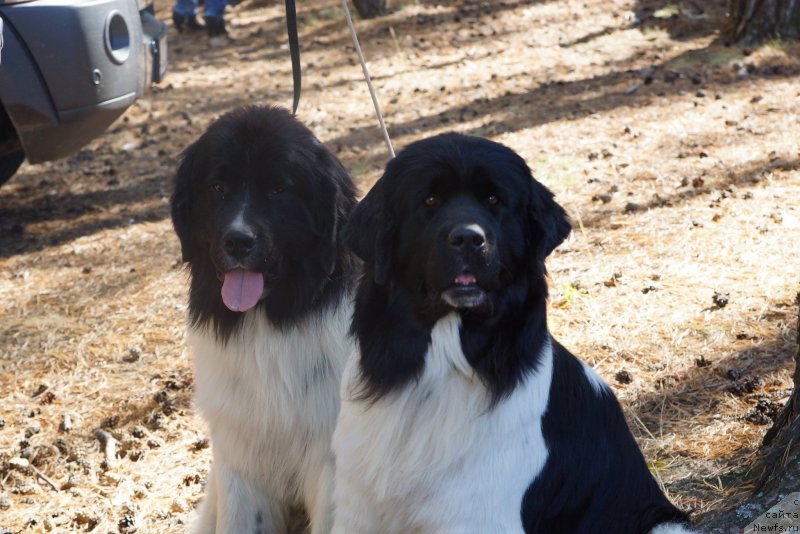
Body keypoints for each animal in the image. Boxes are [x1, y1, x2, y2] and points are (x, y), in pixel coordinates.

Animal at [170, 105, 358, 534]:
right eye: (217, 187)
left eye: (278, 190)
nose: (237, 241)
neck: (265, 324)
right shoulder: (239, 453)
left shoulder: (329, 459)